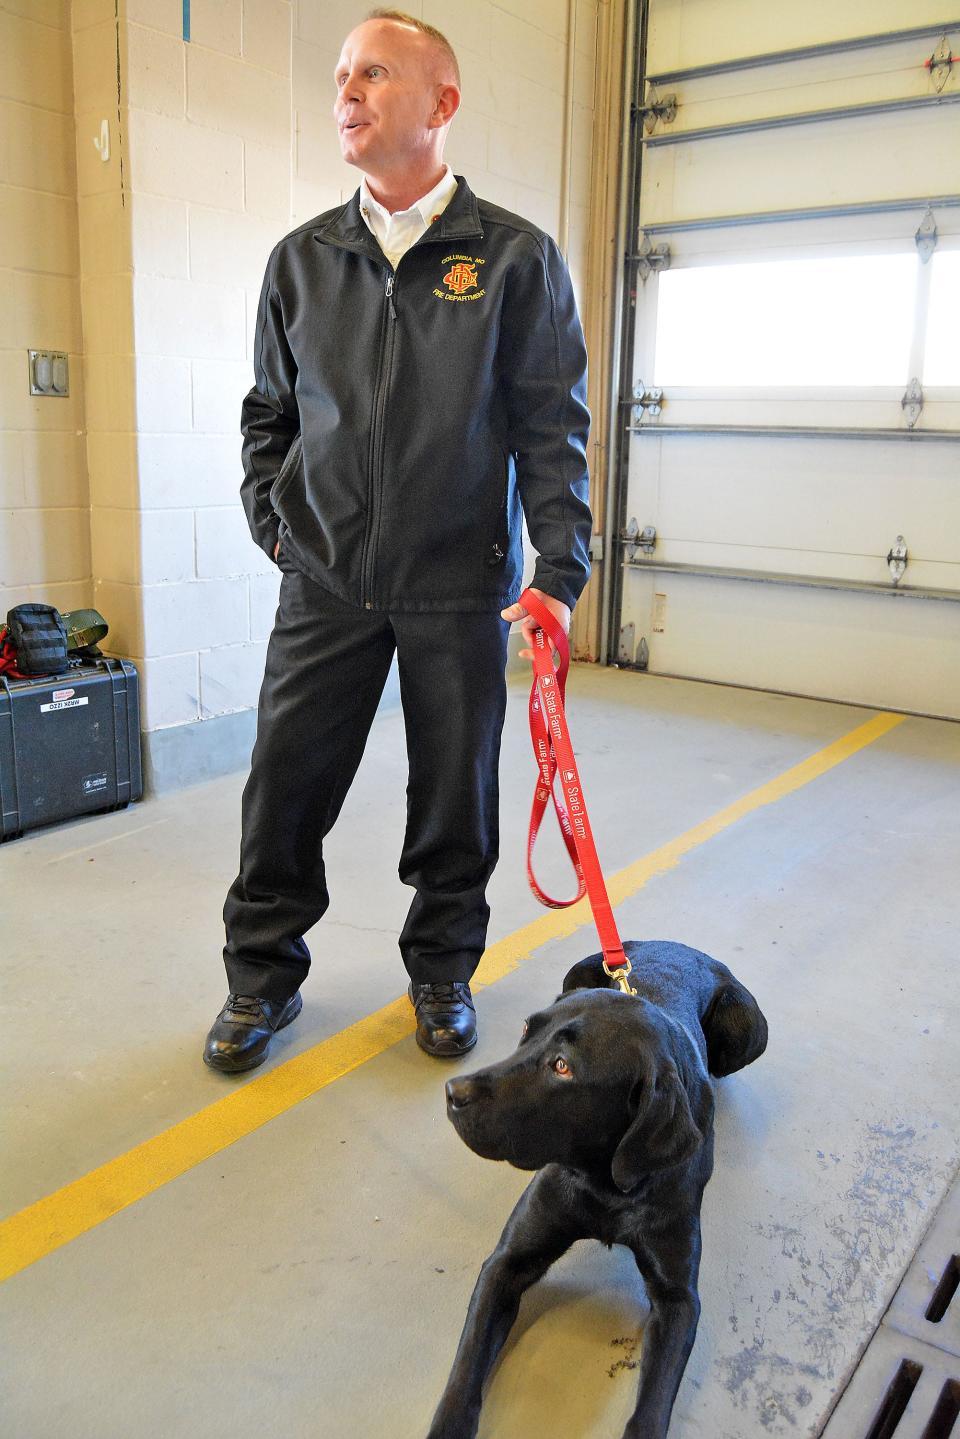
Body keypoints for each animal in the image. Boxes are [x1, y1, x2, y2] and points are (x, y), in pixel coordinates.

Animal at [426, 938, 765, 1433]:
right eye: (526, 1030)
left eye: (562, 1066)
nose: (453, 1092)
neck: (605, 1184)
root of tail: (680, 945)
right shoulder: (507, 1261)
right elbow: (465, 1372)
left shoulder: (679, 1298)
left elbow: (653, 1406)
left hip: (749, 1029)